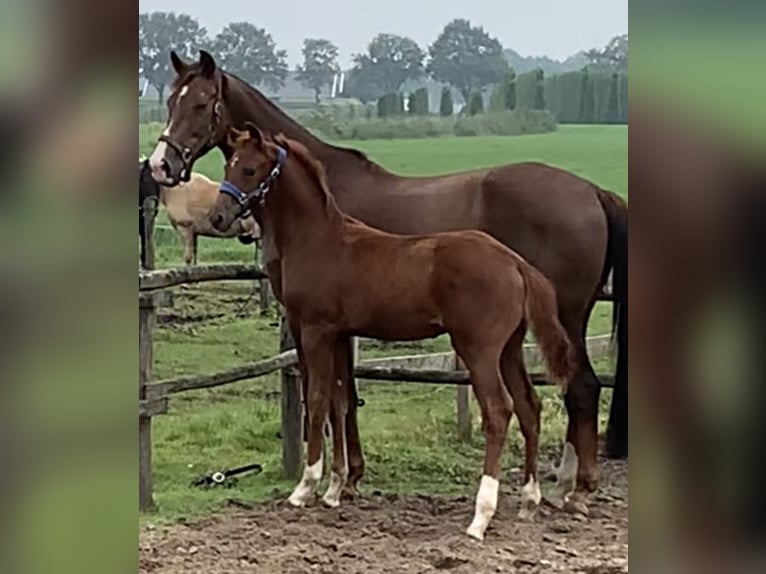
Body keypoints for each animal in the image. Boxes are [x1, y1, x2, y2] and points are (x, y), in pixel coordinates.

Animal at [210, 124, 576, 544]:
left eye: (250, 170)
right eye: (229, 164)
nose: (218, 216)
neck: (317, 238)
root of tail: (515, 263)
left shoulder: (315, 330)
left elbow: (316, 399)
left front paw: (305, 487)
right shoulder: (340, 334)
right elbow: (340, 401)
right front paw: (335, 489)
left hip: (479, 350)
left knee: (499, 412)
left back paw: (480, 518)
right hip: (510, 350)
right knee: (530, 406)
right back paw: (529, 501)